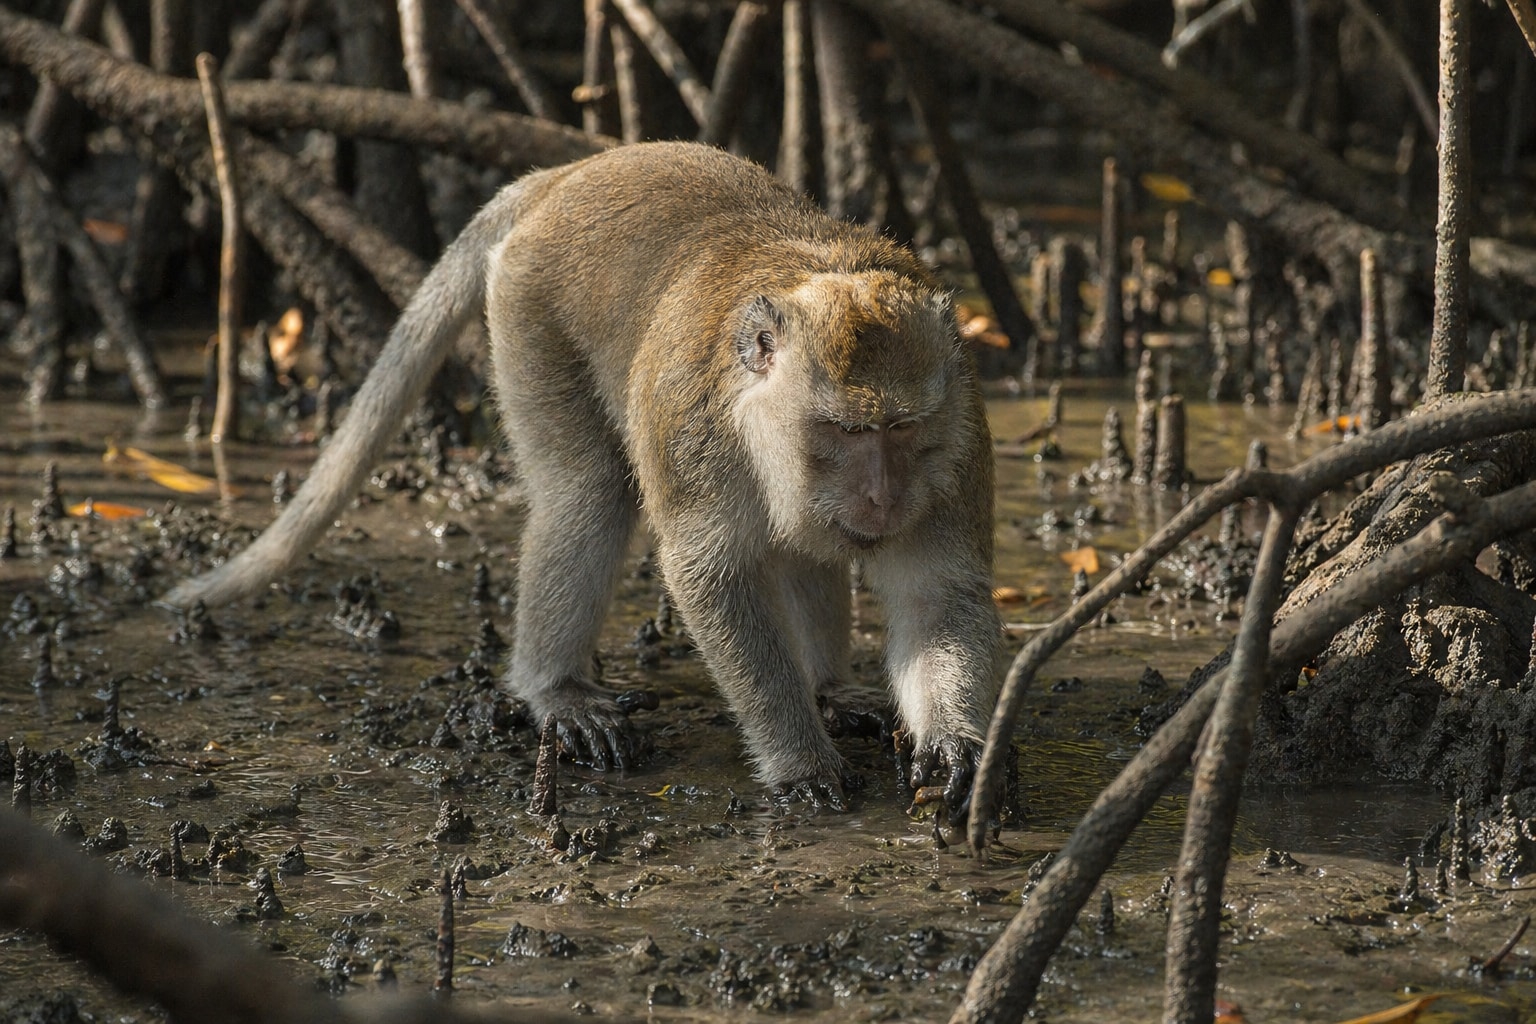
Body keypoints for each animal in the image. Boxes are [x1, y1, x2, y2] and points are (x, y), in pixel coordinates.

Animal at [167, 141, 1000, 812]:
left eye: (903, 429)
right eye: (845, 431)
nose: (882, 497)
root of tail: (573, 171)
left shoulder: (959, 437)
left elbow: (936, 587)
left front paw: (956, 744)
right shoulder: (693, 431)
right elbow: (714, 577)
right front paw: (799, 760)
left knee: (792, 548)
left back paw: (828, 691)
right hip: (528, 311)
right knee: (588, 492)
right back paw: (556, 691)